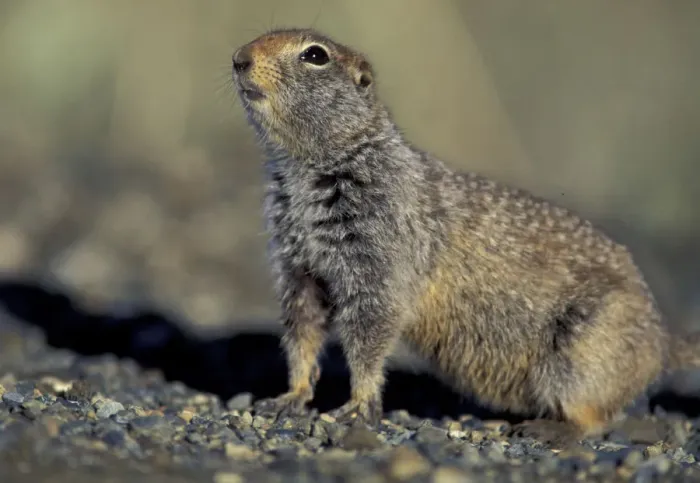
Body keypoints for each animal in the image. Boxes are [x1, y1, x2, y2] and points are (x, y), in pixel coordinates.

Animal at [230, 28, 700, 447]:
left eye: (315, 55)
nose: (238, 58)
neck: (314, 167)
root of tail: (662, 340)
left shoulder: (380, 247)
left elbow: (370, 327)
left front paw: (357, 404)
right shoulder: (295, 261)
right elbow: (302, 327)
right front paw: (287, 397)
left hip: (584, 351)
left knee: (597, 416)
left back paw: (550, 429)